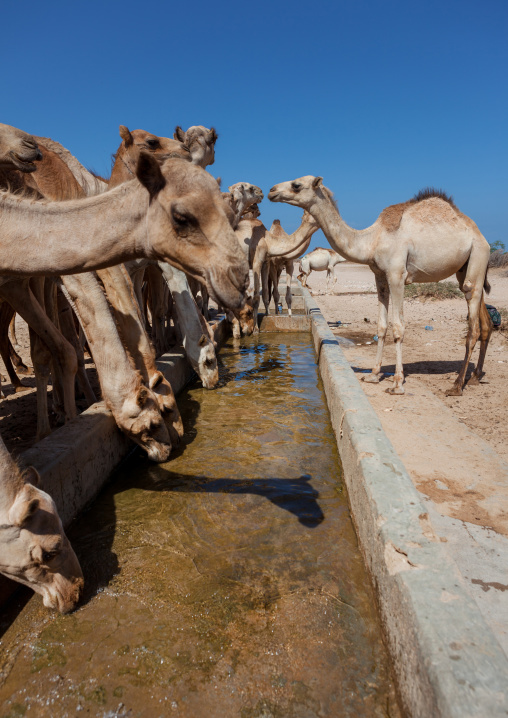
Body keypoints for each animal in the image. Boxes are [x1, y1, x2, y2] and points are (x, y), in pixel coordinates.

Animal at [269, 177, 492, 395]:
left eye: (296, 185)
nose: (272, 190)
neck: (372, 241)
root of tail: (480, 235)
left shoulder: (396, 275)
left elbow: (398, 327)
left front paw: (397, 384)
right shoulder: (380, 276)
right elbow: (382, 326)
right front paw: (374, 375)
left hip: (478, 254)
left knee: (472, 324)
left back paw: (457, 385)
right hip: (465, 268)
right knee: (484, 320)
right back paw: (475, 376)